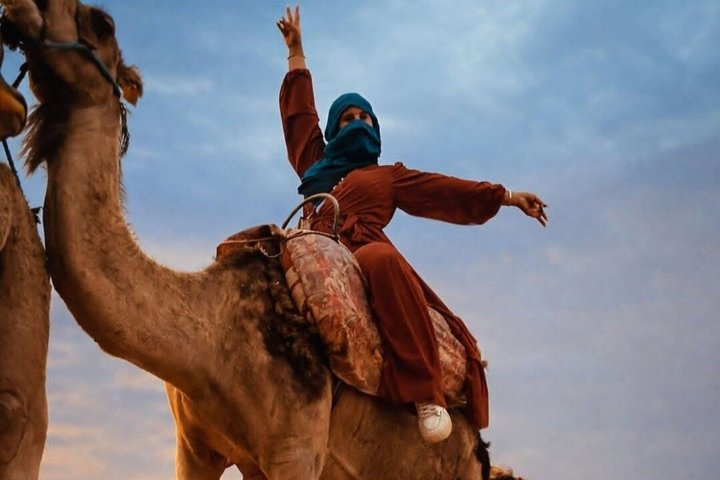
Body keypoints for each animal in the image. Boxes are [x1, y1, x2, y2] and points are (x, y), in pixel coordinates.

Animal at [0, 1, 496, 478]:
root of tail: (479, 443)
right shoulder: (195, 448)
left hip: (454, 466)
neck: (208, 341)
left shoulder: (296, 447)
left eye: (102, 24)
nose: (20, 9)